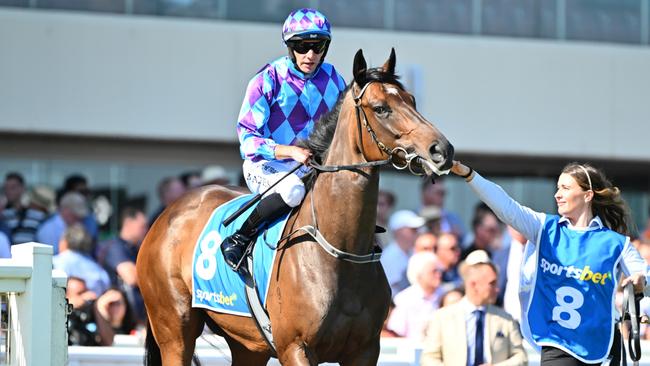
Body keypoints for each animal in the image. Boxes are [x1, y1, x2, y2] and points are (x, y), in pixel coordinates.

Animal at [137, 48, 450, 366]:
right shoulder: (295, 347)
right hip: (175, 329)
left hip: (247, 344)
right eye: (380, 108)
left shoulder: (365, 350)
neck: (342, 251)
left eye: (411, 100)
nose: (441, 150)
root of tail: (166, 216)